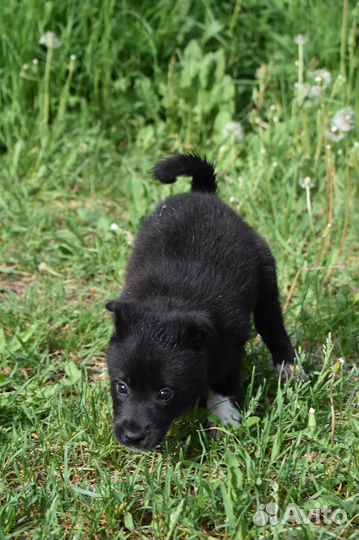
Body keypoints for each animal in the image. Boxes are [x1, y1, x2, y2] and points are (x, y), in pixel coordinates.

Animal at [106, 155, 296, 452]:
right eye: (121, 387)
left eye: (165, 393)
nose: (132, 437)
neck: (169, 302)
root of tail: (203, 193)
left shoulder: (230, 346)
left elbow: (223, 385)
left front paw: (226, 421)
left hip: (266, 276)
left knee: (272, 324)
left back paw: (288, 368)